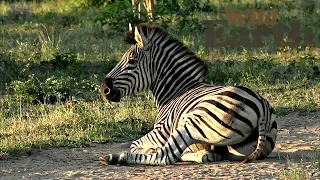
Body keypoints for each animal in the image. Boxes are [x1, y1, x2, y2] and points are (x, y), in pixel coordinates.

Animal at [100, 22, 278, 166]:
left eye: (131, 61)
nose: (104, 89)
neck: (176, 91)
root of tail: (263, 107)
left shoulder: (160, 131)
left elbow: (135, 145)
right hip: (237, 149)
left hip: (192, 122)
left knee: (165, 156)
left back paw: (116, 157)